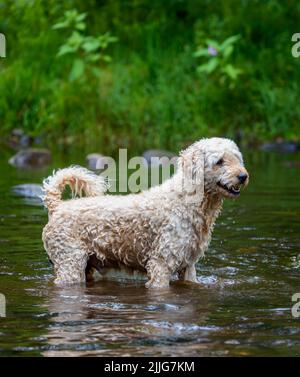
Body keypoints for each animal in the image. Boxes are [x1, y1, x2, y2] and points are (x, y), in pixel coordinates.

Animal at [42, 137, 248, 286]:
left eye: (237, 158)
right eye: (219, 161)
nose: (243, 176)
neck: (186, 202)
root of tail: (57, 206)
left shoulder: (188, 265)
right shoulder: (161, 264)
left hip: (86, 267)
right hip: (69, 264)